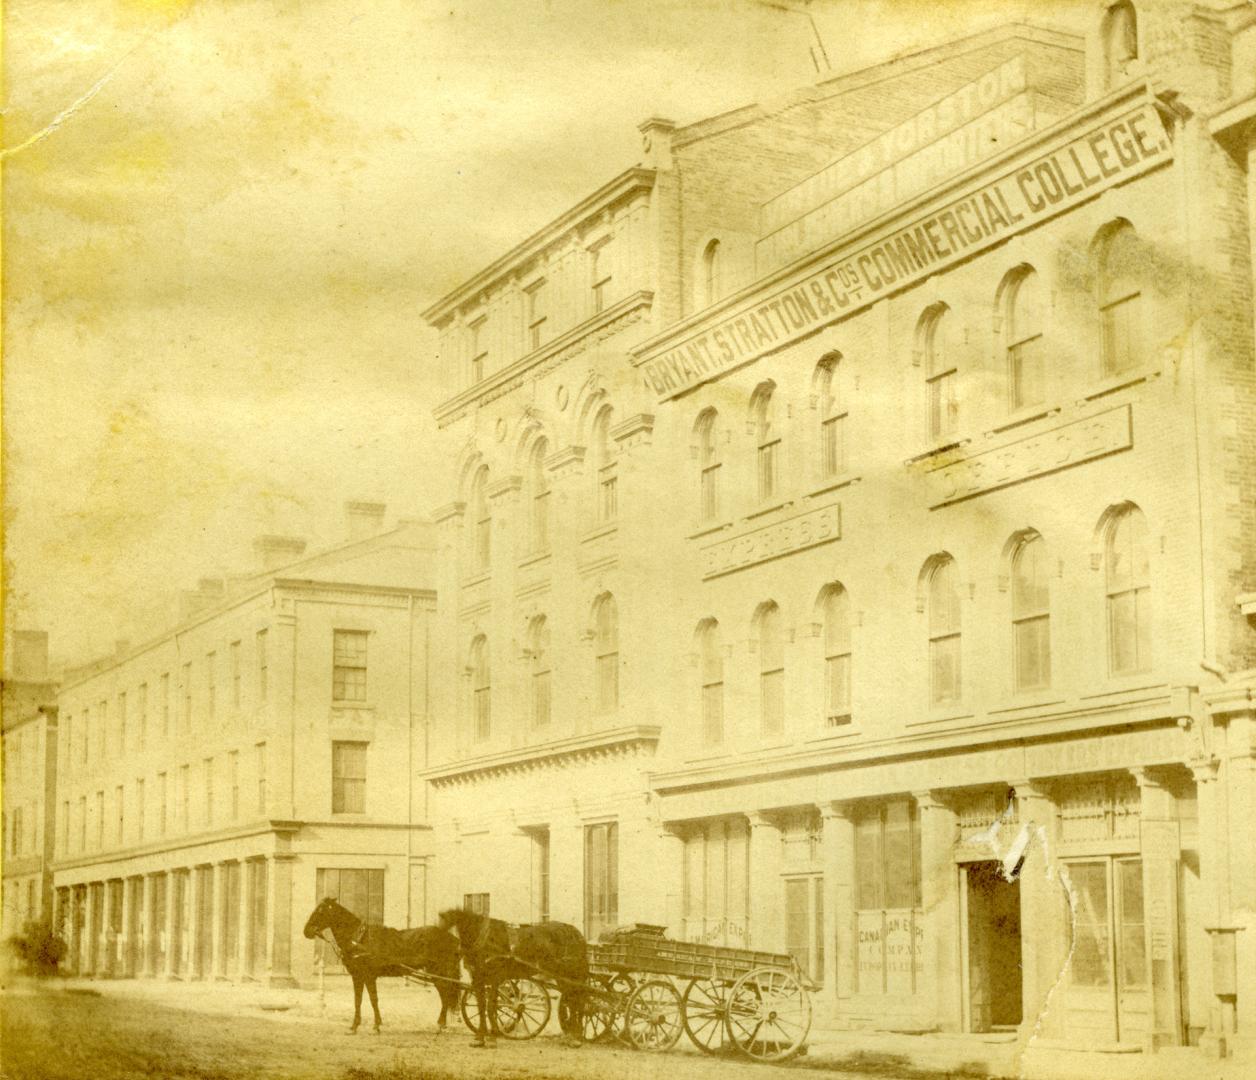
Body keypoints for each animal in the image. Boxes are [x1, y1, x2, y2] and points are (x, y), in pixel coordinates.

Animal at [302, 894, 462, 1039]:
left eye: (320, 910)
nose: (306, 931)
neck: (359, 940)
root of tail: (453, 938)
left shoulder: (368, 976)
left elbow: (372, 999)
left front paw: (375, 1026)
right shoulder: (358, 976)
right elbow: (358, 1000)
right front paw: (355, 1026)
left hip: (438, 973)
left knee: (446, 996)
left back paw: (440, 1025)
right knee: (446, 996)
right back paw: (442, 1025)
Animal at [437, 909, 587, 1049]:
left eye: (445, 931)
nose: (456, 954)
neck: (485, 938)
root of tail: (574, 931)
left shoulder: (495, 978)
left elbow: (491, 1006)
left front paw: (492, 1038)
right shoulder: (479, 979)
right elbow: (482, 1007)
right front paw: (479, 1038)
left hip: (567, 975)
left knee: (575, 1002)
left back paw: (575, 1037)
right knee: (573, 1001)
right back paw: (573, 1035)